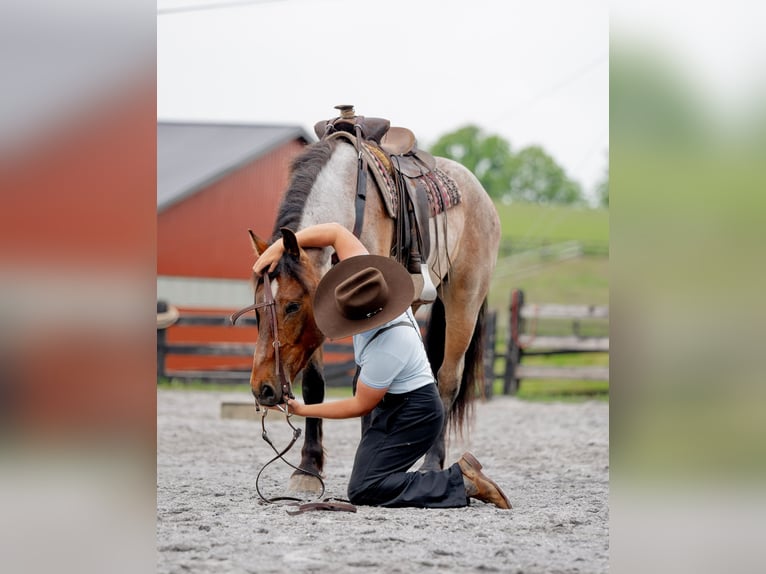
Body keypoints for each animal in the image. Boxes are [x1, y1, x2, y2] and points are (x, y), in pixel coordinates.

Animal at [243, 113, 500, 496]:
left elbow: (360, 383)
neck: (349, 201)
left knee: (446, 380)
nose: (263, 389)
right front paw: (307, 469)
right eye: (259, 308)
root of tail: (481, 193)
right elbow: (315, 385)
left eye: (291, 306)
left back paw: (431, 463)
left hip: (464, 298)